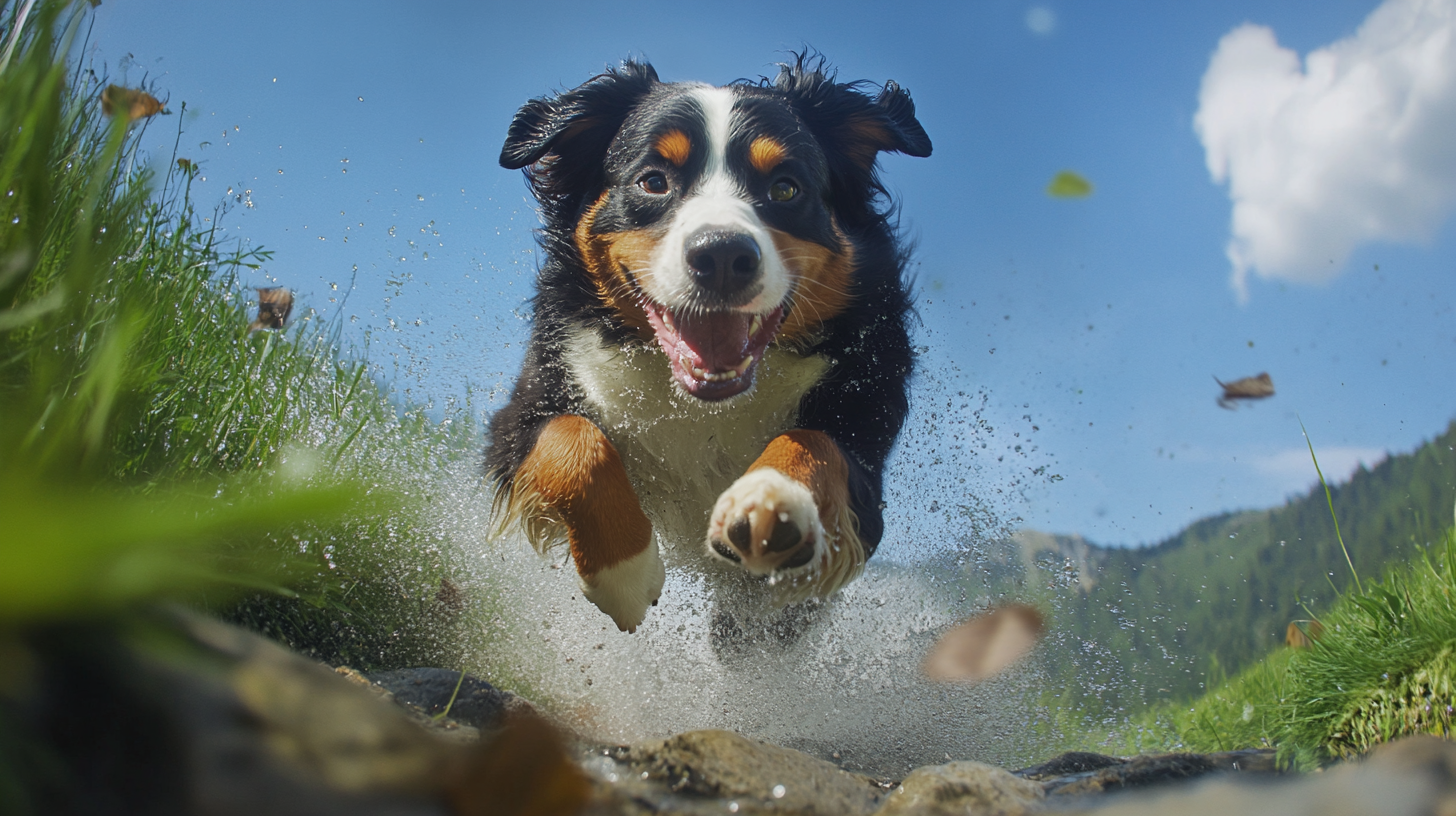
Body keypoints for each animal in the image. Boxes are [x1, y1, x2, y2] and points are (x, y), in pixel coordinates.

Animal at [483, 54, 926, 635]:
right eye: (653, 181)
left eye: (786, 189)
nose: (721, 256)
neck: (700, 406)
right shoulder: (525, 411)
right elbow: (572, 440)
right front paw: (624, 573)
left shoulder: (864, 422)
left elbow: (816, 440)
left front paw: (771, 499)